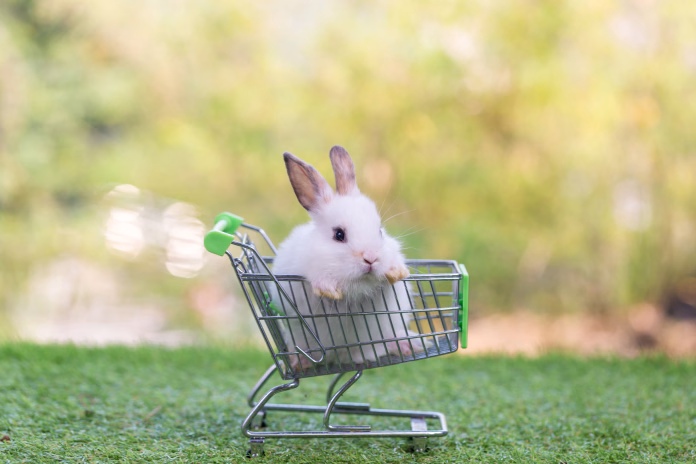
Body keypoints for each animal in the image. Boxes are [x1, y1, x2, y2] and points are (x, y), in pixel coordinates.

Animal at [270, 145, 427, 373]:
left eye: (380, 231)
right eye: (339, 234)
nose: (371, 258)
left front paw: (396, 271)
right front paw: (329, 289)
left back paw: (408, 345)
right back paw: (300, 361)